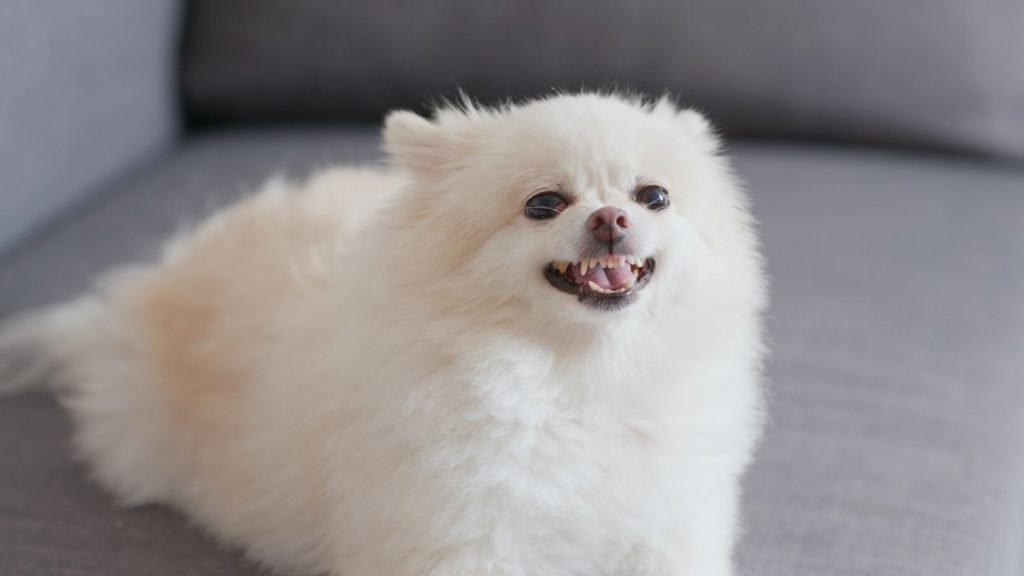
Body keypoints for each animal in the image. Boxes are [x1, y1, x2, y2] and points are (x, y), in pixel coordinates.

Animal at [0, 91, 765, 569]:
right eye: (544, 204)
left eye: (654, 196)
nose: (611, 217)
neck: (578, 376)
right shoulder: (460, 540)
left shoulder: (668, 525)